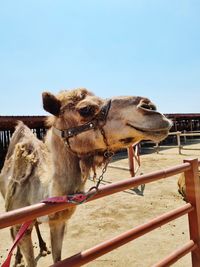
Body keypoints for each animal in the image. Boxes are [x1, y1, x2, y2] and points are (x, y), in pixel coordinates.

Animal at [0, 88, 172, 266]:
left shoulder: (58, 222)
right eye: (85, 109)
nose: (150, 107)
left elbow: (57, 257)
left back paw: (42, 247)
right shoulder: (20, 223)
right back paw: (18, 257)